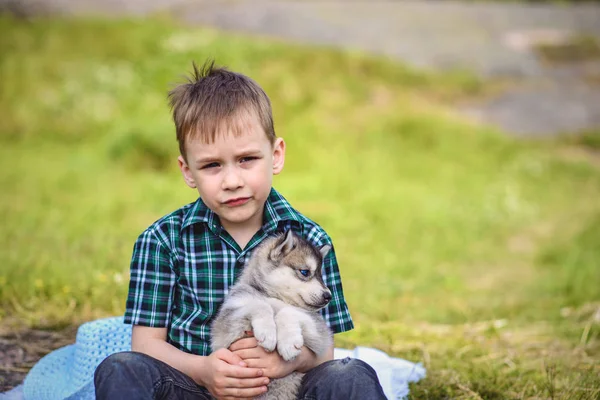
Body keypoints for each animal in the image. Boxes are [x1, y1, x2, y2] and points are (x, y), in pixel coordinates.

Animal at [211, 230, 332, 398]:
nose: (328, 296)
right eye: (305, 272)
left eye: (321, 275)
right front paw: (267, 333)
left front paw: (288, 343)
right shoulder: (226, 324)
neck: (274, 298)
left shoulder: (320, 334)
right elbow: (260, 304)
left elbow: (289, 311)